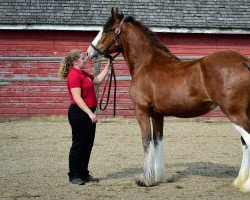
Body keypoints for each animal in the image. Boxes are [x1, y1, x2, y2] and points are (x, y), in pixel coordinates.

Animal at [87, 8, 250, 192]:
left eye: (106, 30)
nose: (90, 53)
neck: (147, 63)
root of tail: (244, 61)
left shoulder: (141, 111)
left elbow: (146, 141)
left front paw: (145, 180)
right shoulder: (157, 115)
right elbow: (158, 141)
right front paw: (158, 177)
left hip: (234, 114)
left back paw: (246, 185)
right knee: (244, 144)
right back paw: (239, 182)